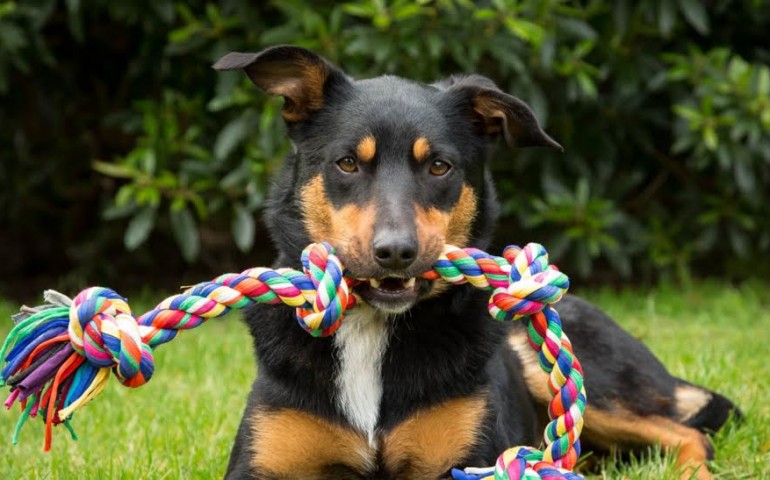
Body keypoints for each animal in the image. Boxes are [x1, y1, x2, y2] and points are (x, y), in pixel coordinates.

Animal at [210, 46, 736, 480]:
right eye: (347, 163)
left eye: (439, 166)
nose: (395, 251)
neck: (372, 327)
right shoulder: (262, 459)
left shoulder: (470, 457)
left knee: (686, 435)